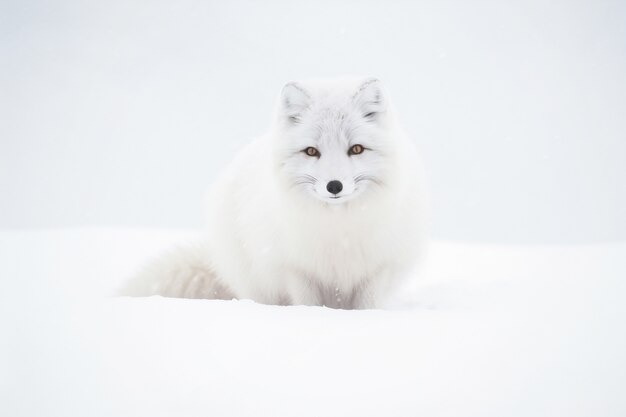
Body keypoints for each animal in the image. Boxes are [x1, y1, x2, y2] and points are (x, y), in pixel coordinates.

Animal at [123, 76, 424, 308]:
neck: (339, 229)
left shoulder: (378, 268)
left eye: (357, 149)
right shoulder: (294, 269)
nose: (334, 186)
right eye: (311, 151)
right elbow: (307, 303)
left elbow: (367, 306)